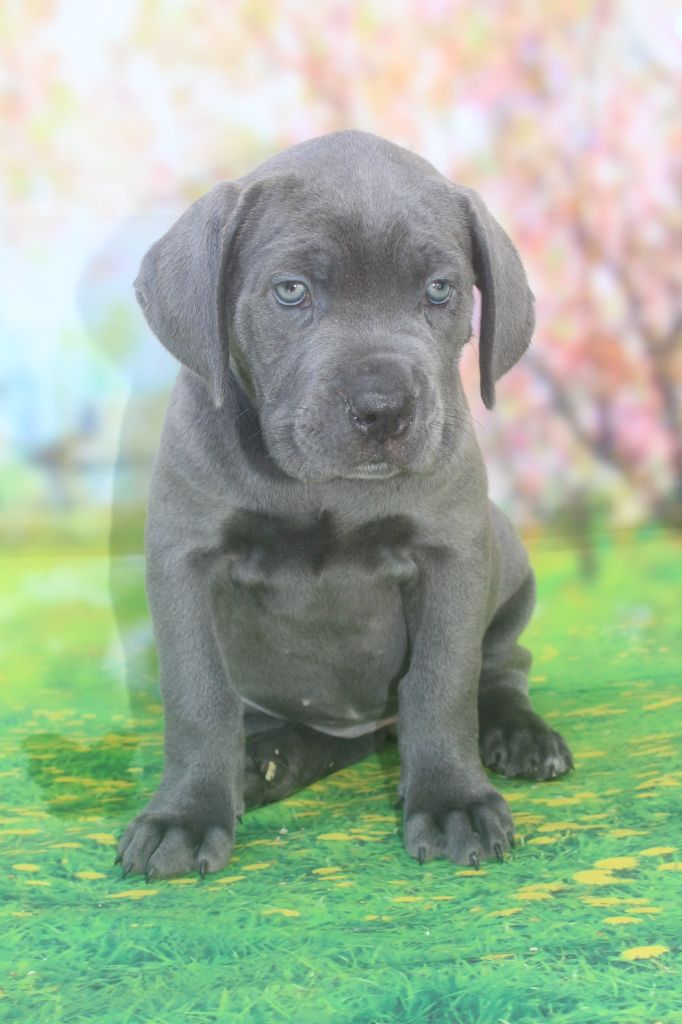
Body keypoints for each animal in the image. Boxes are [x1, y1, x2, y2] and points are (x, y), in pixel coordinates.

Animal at [116, 130, 573, 880]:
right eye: (292, 291)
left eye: (439, 290)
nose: (382, 408)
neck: (325, 489)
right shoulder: (185, 558)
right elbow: (197, 695)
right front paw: (184, 815)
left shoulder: (451, 553)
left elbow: (442, 682)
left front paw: (452, 801)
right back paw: (267, 763)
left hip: (506, 556)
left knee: (503, 668)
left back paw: (521, 735)